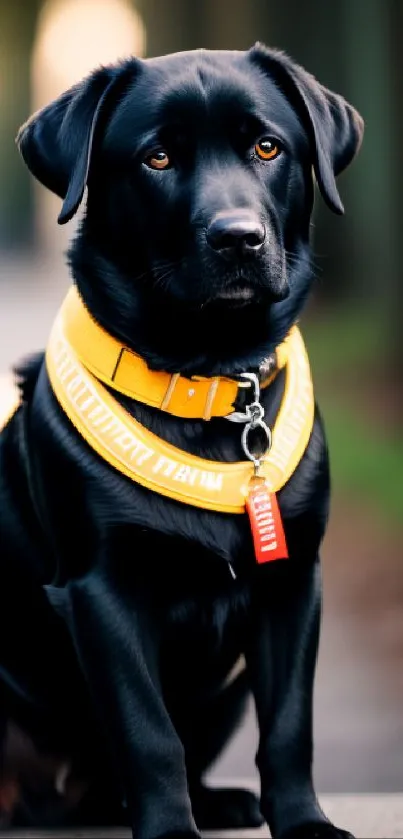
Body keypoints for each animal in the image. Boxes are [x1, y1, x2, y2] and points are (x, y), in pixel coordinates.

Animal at [0, 46, 364, 839]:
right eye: (157, 157)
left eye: (267, 147)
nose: (237, 236)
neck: (207, 383)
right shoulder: (102, 590)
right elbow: (148, 732)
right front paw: (170, 830)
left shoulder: (295, 580)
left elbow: (288, 726)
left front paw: (305, 823)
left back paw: (221, 801)